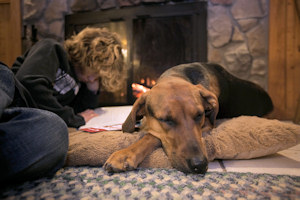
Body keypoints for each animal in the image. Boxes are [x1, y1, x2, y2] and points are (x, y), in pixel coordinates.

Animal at [103, 62, 274, 173]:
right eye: (166, 120)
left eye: (199, 115)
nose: (200, 165)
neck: (178, 74)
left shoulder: (207, 124)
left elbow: (151, 136)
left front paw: (125, 155)